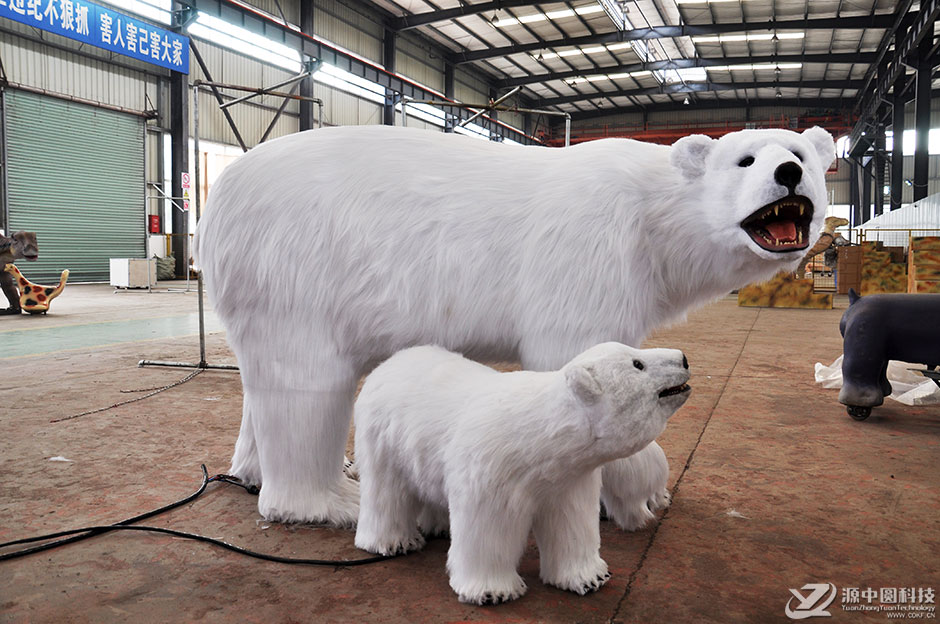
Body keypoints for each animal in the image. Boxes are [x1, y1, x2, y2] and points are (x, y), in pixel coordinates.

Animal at [195, 124, 832, 524]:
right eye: (745, 159)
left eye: (802, 153)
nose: (788, 172)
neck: (653, 215)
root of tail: (217, 197)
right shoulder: (592, 245)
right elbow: (575, 356)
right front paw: (643, 491)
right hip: (297, 265)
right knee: (307, 385)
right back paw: (332, 501)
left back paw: (252, 474)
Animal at [352, 344, 692, 604]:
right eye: (638, 363)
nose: (684, 358)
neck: (541, 438)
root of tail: (388, 363)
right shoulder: (492, 472)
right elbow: (489, 529)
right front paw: (493, 591)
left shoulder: (566, 478)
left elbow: (570, 524)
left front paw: (589, 577)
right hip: (382, 435)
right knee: (386, 490)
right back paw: (394, 542)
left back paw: (438, 526)